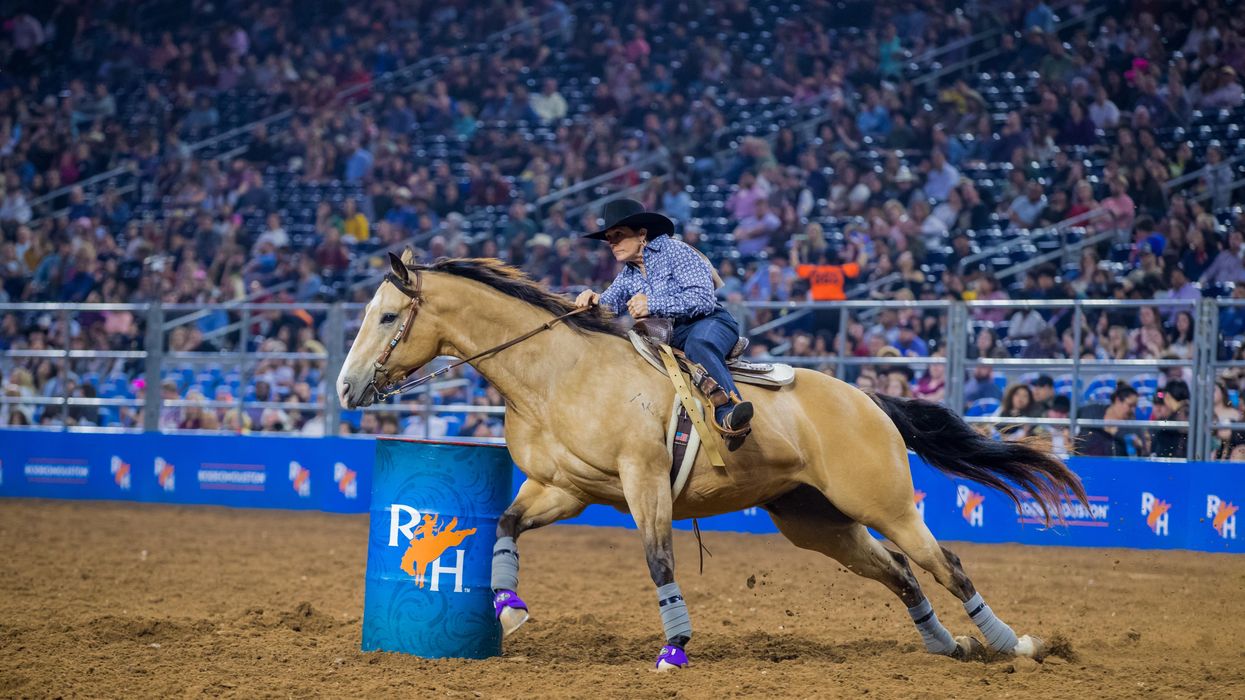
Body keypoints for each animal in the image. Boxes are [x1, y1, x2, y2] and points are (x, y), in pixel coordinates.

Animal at [336, 251, 1085, 672]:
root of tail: (866, 399)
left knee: (944, 563)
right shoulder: (564, 488)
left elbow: (659, 561)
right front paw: (509, 609)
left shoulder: (644, 484)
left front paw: (674, 648)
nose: (344, 389)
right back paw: (944, 646)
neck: (558, 373)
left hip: (886, 504)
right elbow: (504, 527)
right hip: (816, 522)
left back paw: (1012, 645)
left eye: (386, 317)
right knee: (900, 573)